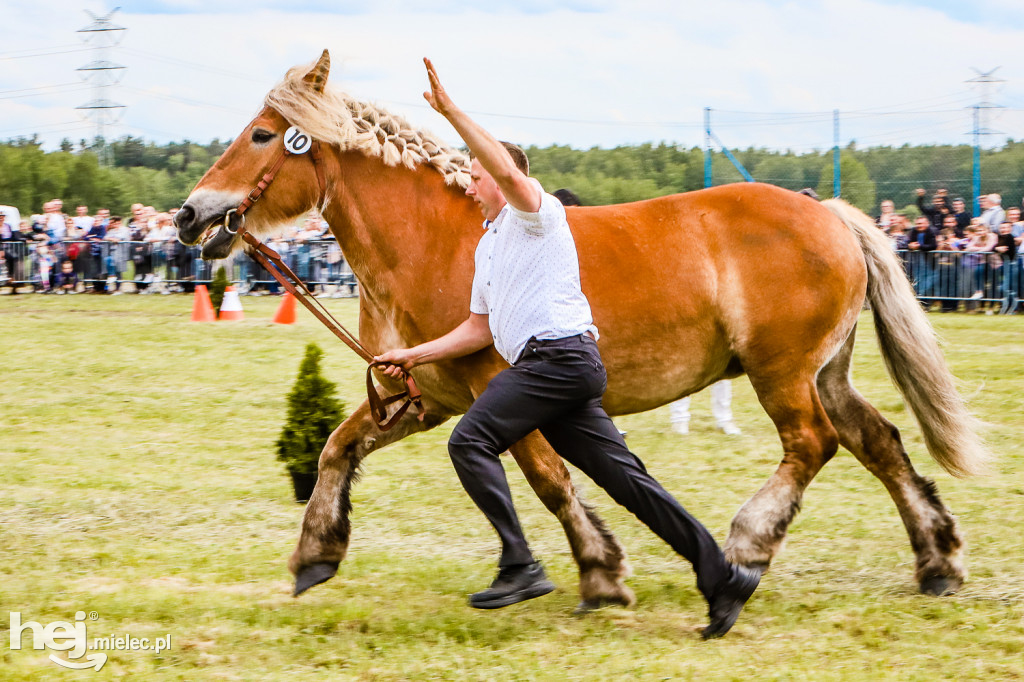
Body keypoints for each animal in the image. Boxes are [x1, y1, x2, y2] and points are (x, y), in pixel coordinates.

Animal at [178, 53, 991, 606]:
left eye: (262, 135)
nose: (189, 216)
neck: (440, 240)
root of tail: (831, 213)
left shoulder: (497, 392)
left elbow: (547, 480)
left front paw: (600, 572)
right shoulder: (421, 395)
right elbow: (337, 449)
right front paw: (315, 553)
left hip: (782, 372)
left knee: (812, 445)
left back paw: (748, 545)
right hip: (828, 370)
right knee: (879, 443)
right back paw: (938, 562)